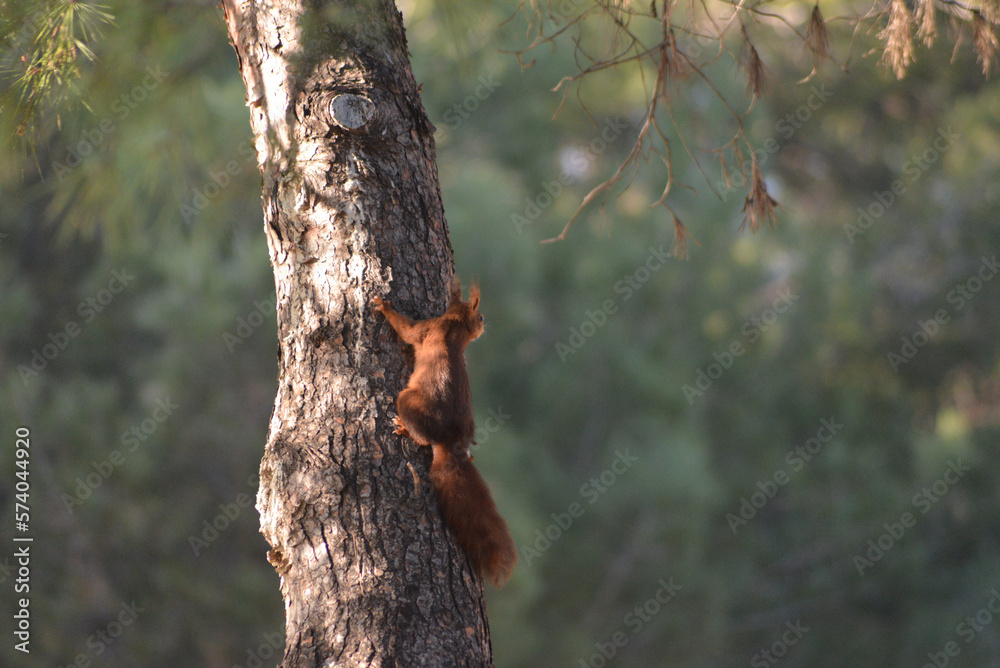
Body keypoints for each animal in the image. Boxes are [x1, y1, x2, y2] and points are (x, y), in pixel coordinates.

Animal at [373, 276, 517, 587]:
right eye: (481, 317)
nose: (485, 325)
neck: (453, 326)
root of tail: (449, 441)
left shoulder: (427, 328)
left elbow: (406, 330)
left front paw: (384, 306)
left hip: (405, 399)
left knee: (420, 436)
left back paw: (404, 429)